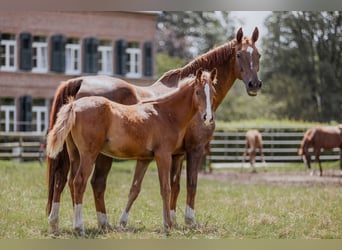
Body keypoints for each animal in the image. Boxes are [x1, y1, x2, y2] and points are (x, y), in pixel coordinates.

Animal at [46, 68, 216, 234]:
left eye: (213, 92)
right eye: (198, 92)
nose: (207, 118)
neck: (165, 114)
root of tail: (73, 105)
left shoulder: (145, 159)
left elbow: (135, 188)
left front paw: (124, 222)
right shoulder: (164, 155)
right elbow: (166, 188)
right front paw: (168, 225)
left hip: (74, 154)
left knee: (68, 181)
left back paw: (56, 224)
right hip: (89, 154)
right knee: (79, 181)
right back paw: (79, 227)